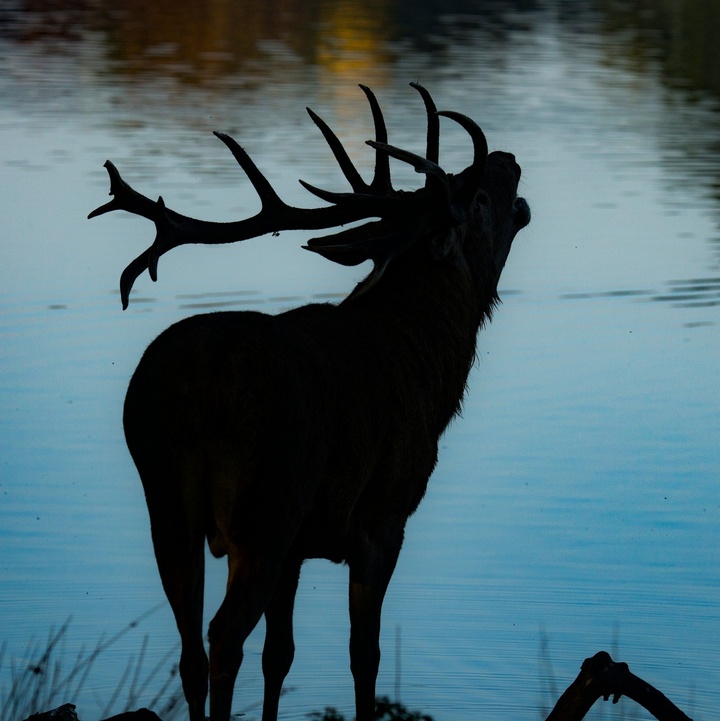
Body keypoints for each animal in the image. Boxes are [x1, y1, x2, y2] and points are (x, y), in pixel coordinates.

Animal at [89, 83, 530, 721]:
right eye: (476, 195)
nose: (509, 159)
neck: (429, 368)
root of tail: (192, 387)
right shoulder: (383, 515)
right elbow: (364, 654)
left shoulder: (299, 547)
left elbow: (282, 654)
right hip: (265, 507)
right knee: (223, 636)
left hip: (167, 504)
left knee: (191, 648)